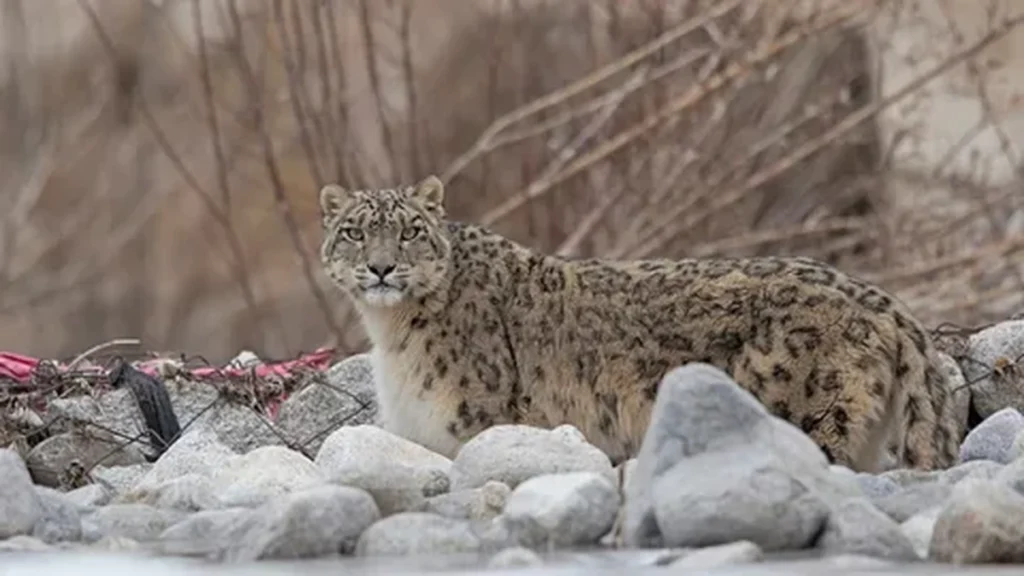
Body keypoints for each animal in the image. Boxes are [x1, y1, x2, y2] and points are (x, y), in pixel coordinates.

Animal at [317, 174, 962, 473]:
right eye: (353, 231)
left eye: (409, 230)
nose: (381, 267)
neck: (391, 334)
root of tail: (879, 297)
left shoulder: (475, 426)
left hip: (809, 416)